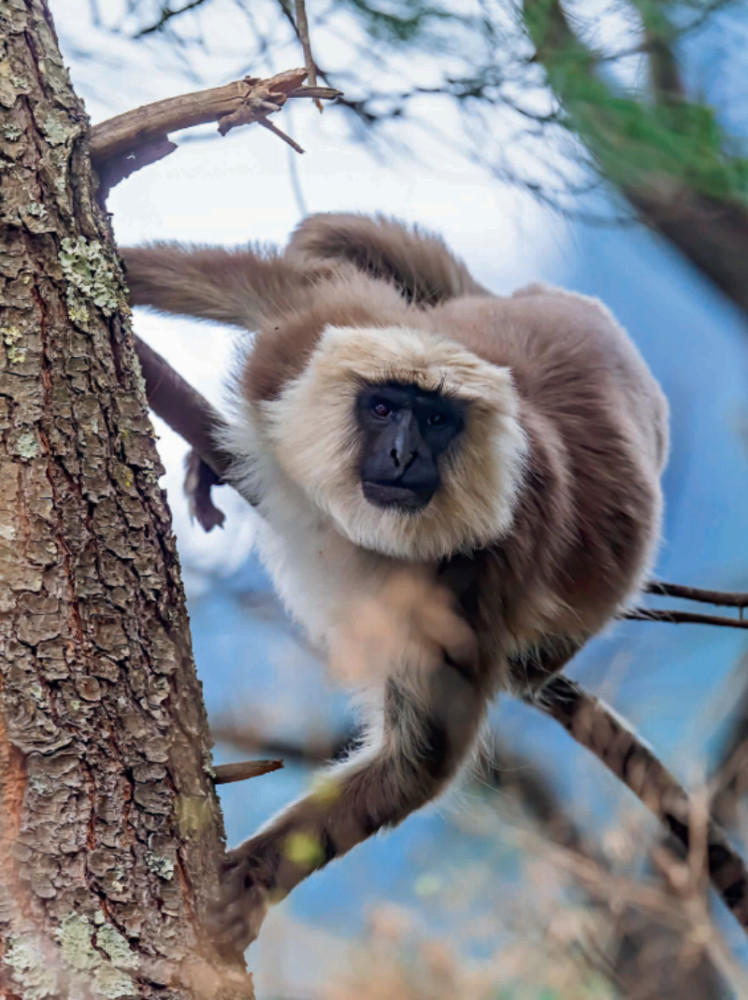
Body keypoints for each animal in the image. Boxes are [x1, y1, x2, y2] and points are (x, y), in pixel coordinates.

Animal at [120, 213, 668, 952]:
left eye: (436, 421)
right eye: (383, 410)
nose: (404, 454)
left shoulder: (476, 573)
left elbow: (420, 757)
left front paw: (254, 882)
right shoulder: (307, 335)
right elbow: (220, 279)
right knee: (321, 233)